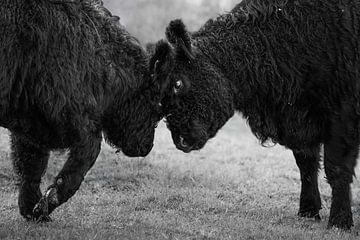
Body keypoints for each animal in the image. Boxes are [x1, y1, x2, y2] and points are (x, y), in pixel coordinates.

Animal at [0, 0, 165, 221]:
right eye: (156, 108)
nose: (147, 147)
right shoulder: (78, 122)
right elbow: (77, 169)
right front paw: (45, 205)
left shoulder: (31, 123)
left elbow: (31, 167)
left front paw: (32, 209)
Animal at [153, 0, 360, 230]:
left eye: (178, 83)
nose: (179, 140)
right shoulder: (300, 122)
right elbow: (306, 164)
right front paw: (307, 210)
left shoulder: (343, 115)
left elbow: (336, 168)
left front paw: (340, 221)